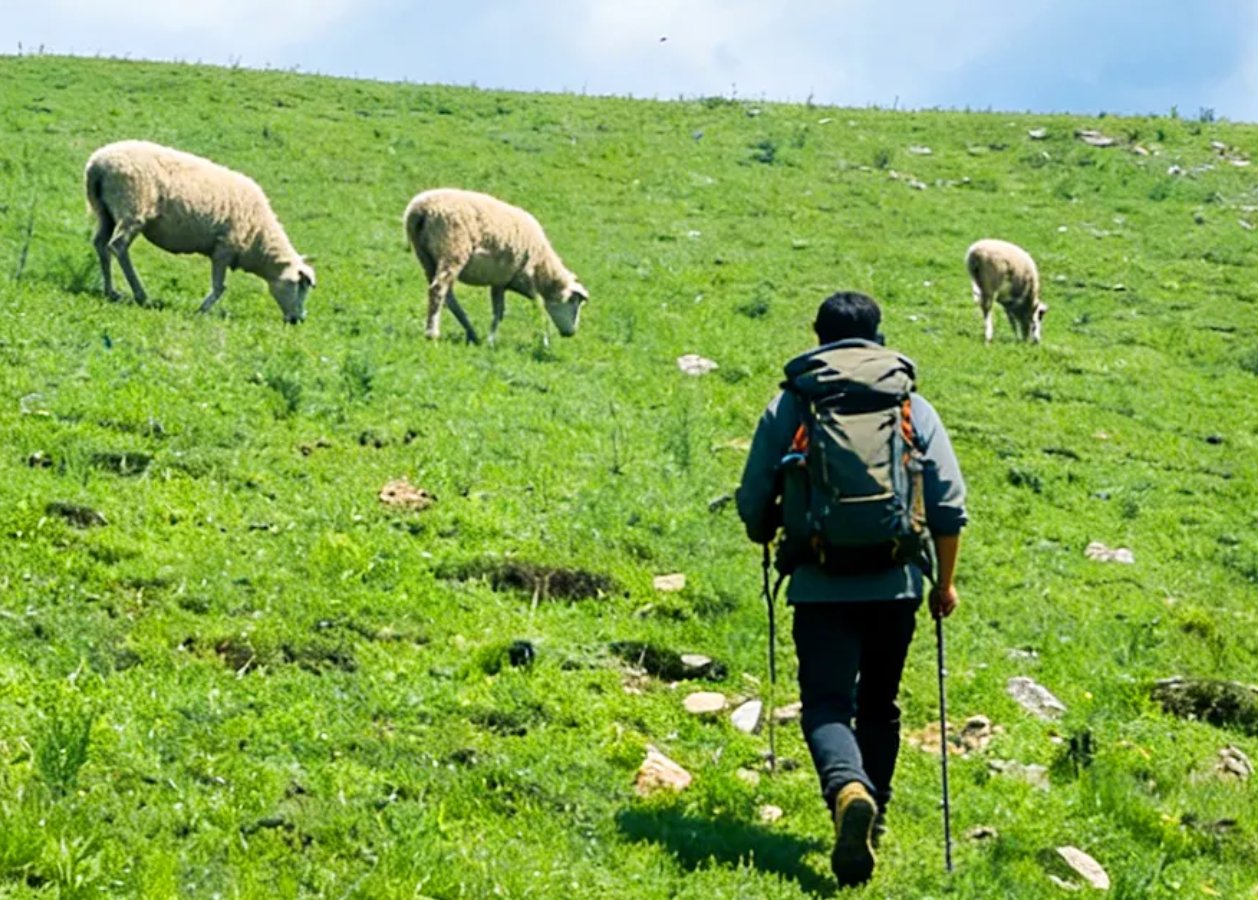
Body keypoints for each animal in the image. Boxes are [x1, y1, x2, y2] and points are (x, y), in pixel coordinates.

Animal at [85, 140, 315, 323]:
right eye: (299, 285)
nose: (299, 320)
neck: (259, 240)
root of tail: (97, 164)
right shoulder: (224, 248)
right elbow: (220, 288)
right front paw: (200, 311)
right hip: (132, 208)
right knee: (118, 246)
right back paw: (141, 296)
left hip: (105, 211)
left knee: (101, 245)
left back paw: (110, 292)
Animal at [403, 188, 588, 345]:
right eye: (575, 304)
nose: (571, 333)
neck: (543, 269)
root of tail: (420, 210)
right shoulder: (526, 280)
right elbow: (539, 309)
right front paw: (545, 341)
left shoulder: (500, 282)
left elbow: (499, 312)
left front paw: (490, 340)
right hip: (453, 249)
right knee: (438, 290)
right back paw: (432, 334)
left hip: (425, 256)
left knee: (447, 296)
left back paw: (471, 333)